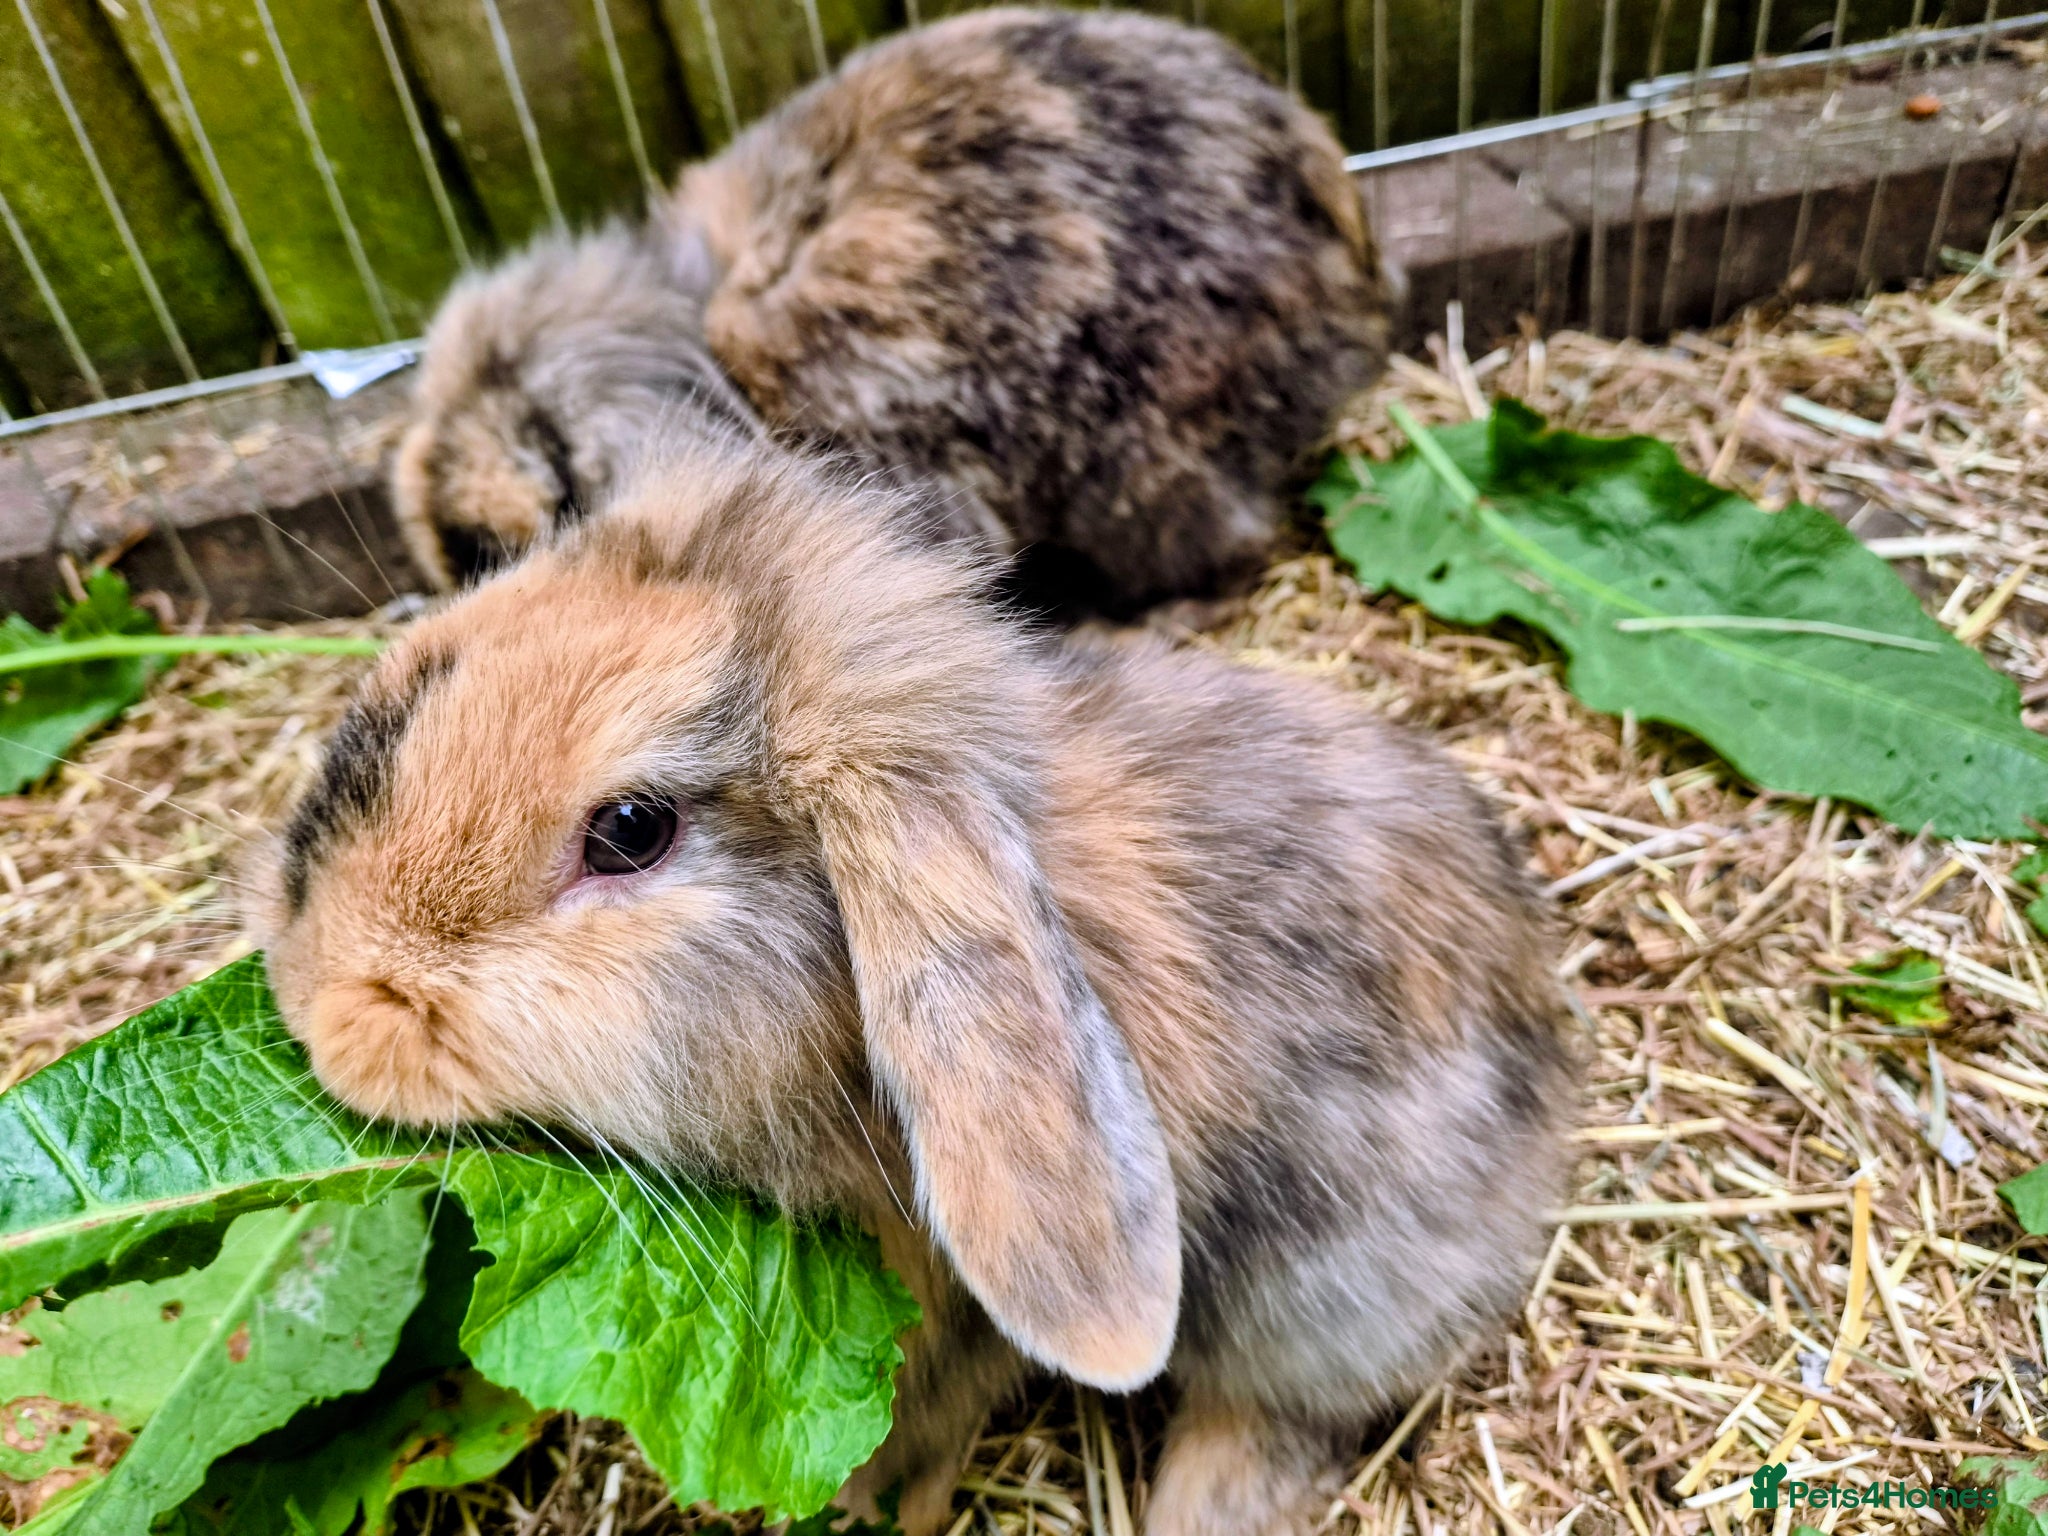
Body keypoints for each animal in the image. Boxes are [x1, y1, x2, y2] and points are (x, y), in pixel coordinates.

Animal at [256, 438, 1572, 1536]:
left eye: (629, 831)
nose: (325, 1011)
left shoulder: (950, 1315)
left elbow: (923, 1432)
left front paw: (873, 1511)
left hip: (1329, 1294)